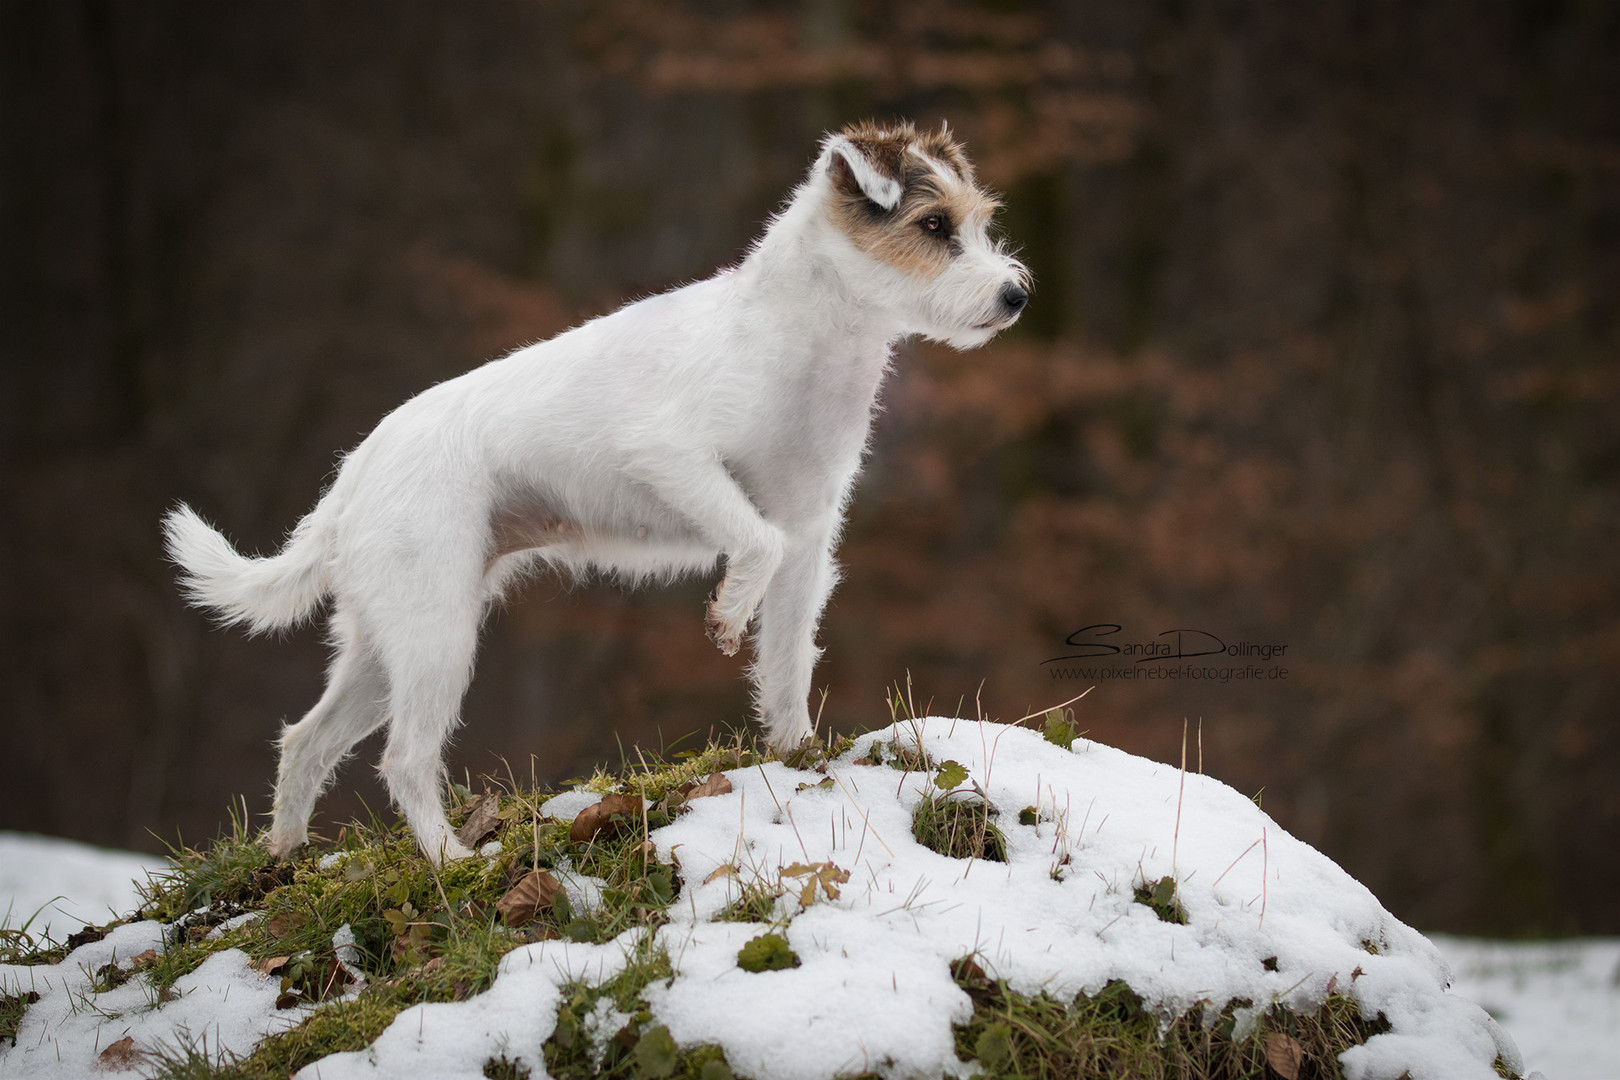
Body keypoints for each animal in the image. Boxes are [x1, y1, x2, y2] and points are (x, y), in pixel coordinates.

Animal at [161, 120, 1023, 861]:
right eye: (934, 226)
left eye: (978, 223)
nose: (1016, 296)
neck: (805, 330)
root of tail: (356, 471)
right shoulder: (671, 459)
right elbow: (756, 542)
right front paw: (727, 613)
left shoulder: (810, 532)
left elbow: (785, 658)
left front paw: (795, 751)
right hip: (435, 632)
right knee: (403, 758)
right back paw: (448, 861)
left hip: (385, 641)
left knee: (306, 740)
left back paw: (284, 856)